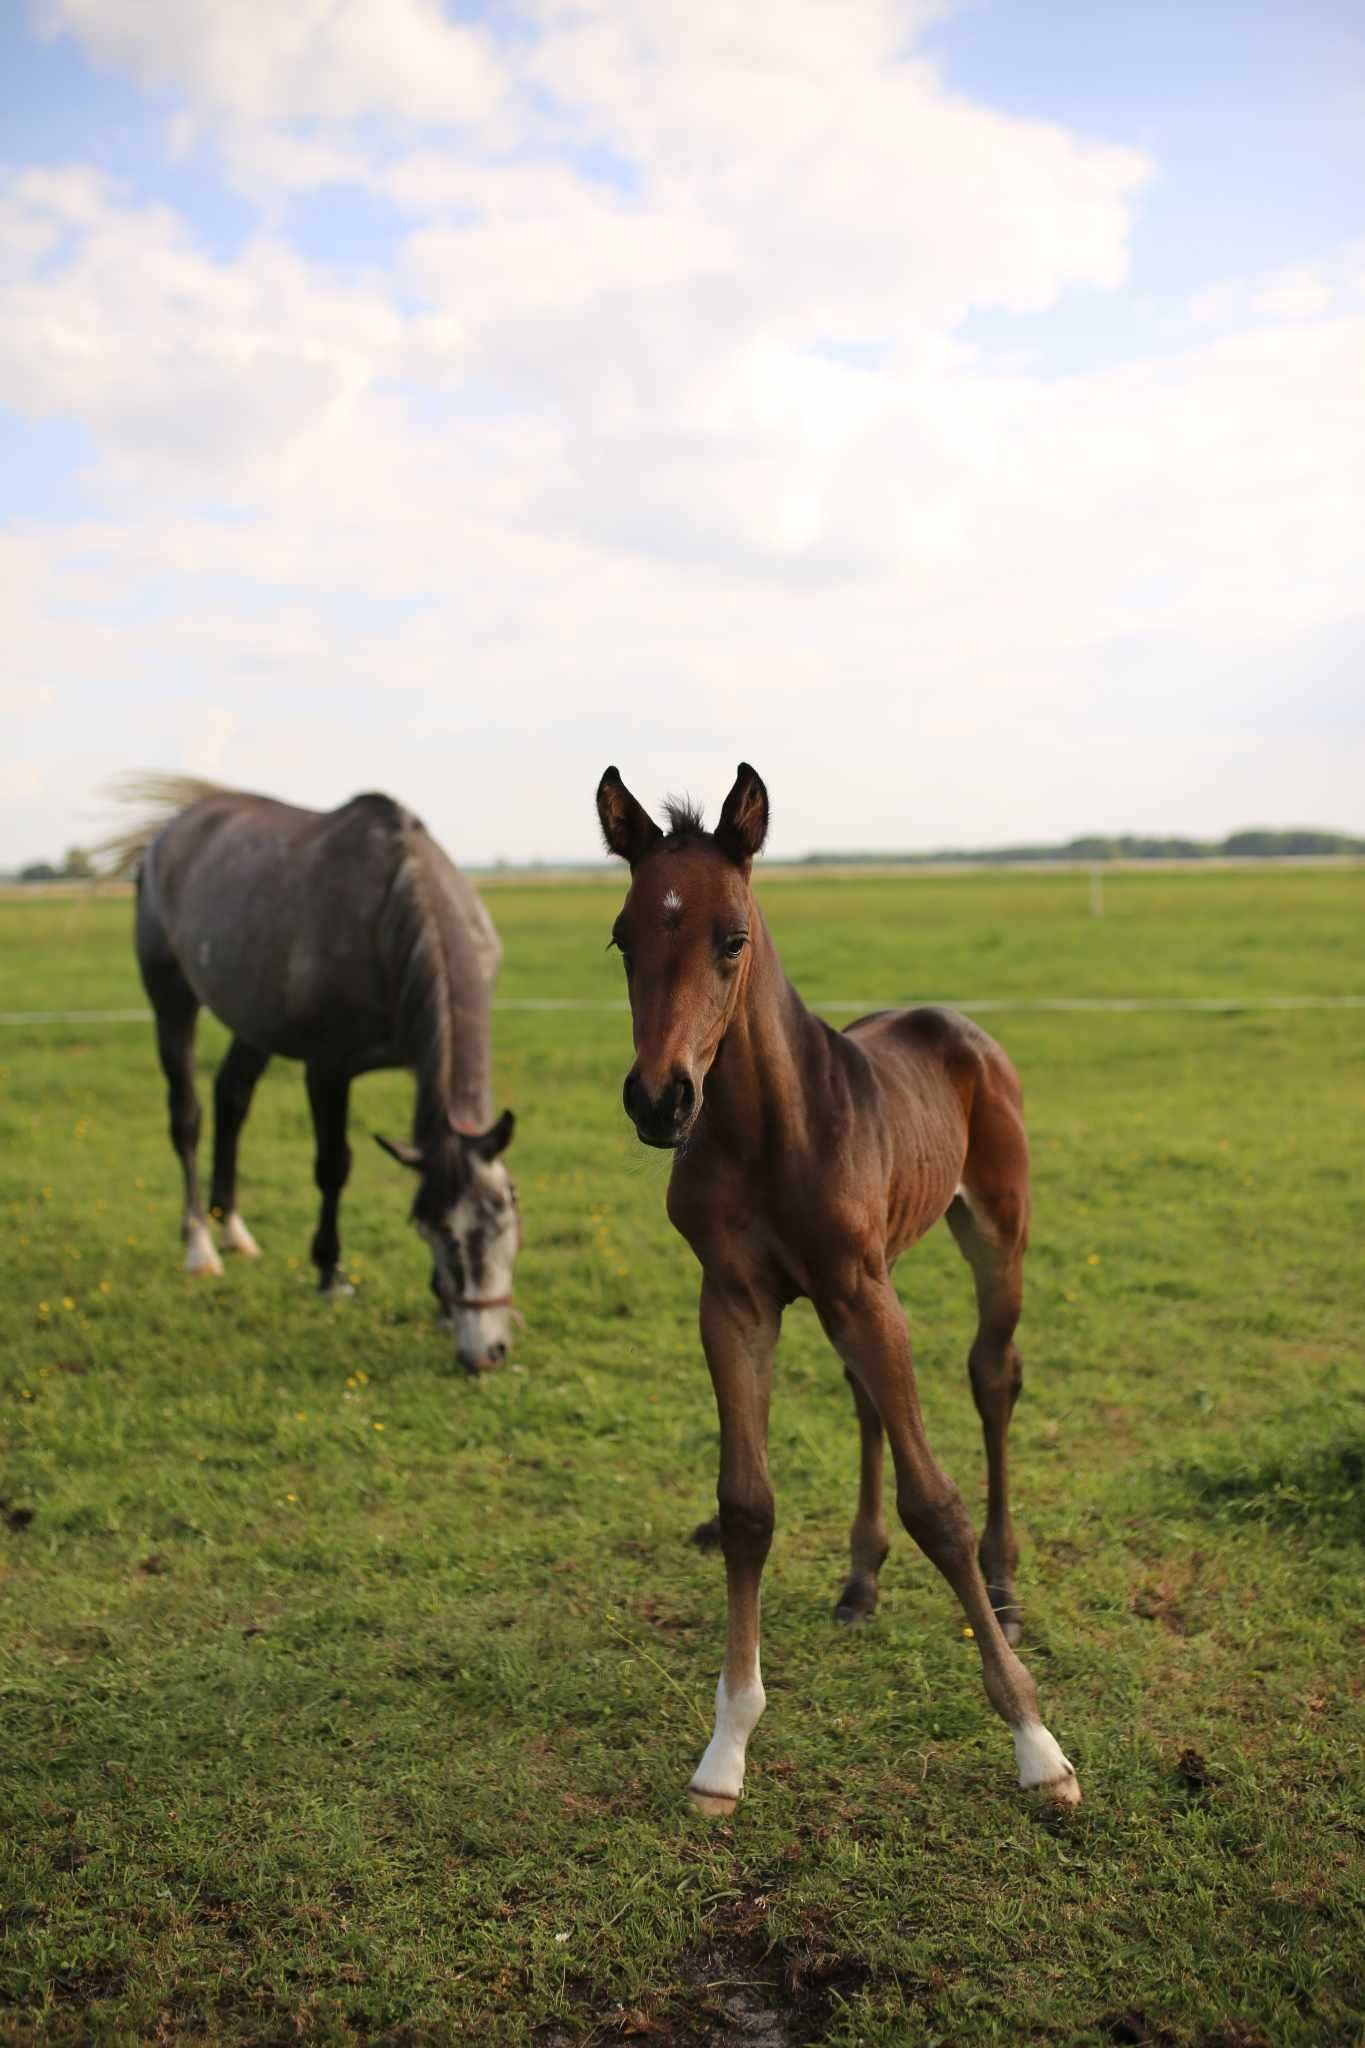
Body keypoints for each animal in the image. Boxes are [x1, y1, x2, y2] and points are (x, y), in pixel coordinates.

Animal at [107, 778, 517, 1376]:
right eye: (429, 1229)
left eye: (503, 1215)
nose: (483, 1353)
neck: (392, 912)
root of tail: (171, 831)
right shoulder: (327, 1069)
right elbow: (333, 1167)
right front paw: (330, 1274)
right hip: (171, 1001)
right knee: (188, 1118)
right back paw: (200, 1246)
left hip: (253, 1023)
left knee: (232, 1099)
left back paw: (233, 1230)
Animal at [593, 765, 1080, 1810]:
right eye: (621, 937)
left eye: (731, 937)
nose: (659, 1101)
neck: (766, 1132)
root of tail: (955, 1023)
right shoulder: (736, 1299)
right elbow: (745, 1507)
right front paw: (725, 1749)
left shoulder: (860, 1290)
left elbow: (936, 1504)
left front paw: (1035, 1743)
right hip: (866, 1280)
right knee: (868, 1400)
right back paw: (860, 1582)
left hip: (992, 1236)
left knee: (992, 1375)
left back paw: (1005, 1586)